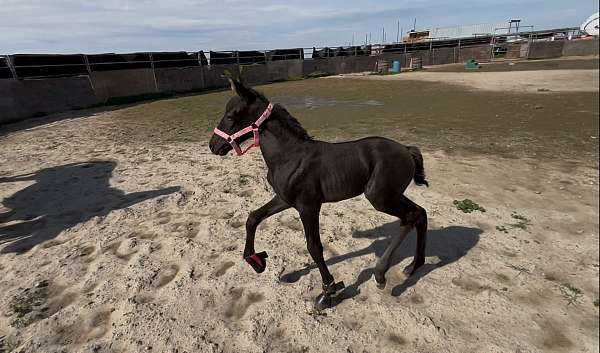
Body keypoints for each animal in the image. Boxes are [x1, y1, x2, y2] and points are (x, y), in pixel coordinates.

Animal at [209, 77, 428, 308]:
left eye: (230, 116)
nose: (213, 145)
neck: (289, 156)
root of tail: (406, 150)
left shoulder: (308, 206)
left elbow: (314, 246)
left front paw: (328, 291)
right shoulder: (285, 199)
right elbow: (253, 218)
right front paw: (255, 261)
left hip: (380, 197)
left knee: (412, 216)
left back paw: (382, 273)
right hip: (392, 195)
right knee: (418, 214)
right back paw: (410, 267)